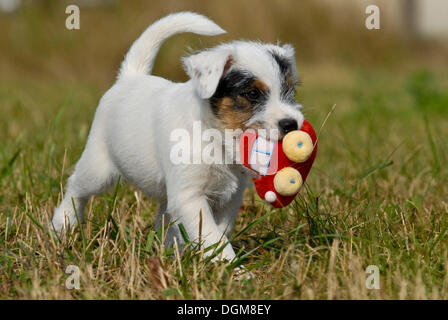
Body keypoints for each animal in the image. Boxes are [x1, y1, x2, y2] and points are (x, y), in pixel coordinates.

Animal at [52, 11, 304, 262]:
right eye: (252, 94)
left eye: (290, 91)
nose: (292, 124)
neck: (216, 138)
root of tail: (129, 78)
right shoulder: (189, 197)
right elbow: (213, 236)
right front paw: (231, 267)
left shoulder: (229, 198)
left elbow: (219, 231)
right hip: (98, 168)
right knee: (75, 188)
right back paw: (61, 225)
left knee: (163, 217)